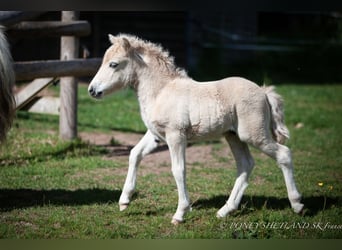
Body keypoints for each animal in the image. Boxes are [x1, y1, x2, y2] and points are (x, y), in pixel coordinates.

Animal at [87, 33, 304, 225]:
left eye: (113, 64)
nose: (92, 90)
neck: (161, 91)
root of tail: (263, 91)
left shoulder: (175, 136)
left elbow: (178, 169)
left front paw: (180, 213)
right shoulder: (156, 135)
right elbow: (134, 154)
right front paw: (124, 201)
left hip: (253, 134)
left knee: (283, 154)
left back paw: (297, 205)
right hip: (233, 136)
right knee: (245, 164)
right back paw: (225, 210)